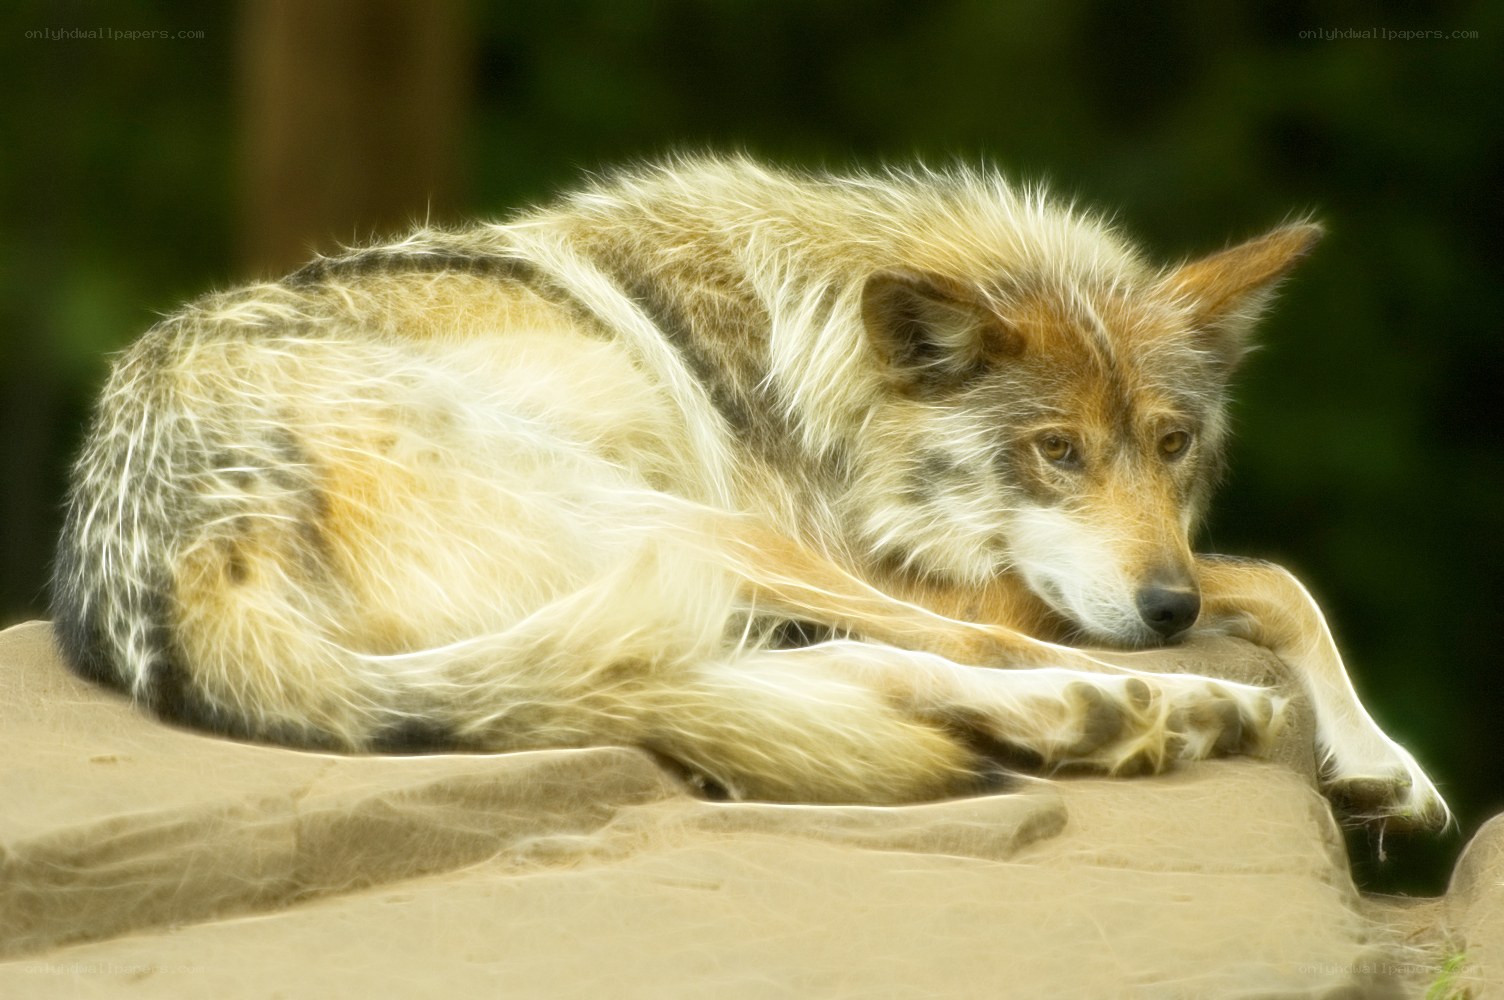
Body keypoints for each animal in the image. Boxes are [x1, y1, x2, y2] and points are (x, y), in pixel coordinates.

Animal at [52, 155, 1446, 825]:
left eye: (1170, 444)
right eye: (1055, 451)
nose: (1161, 610)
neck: (806, 354)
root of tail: (175, 547)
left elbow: (1279, 583)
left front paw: (1381, 764)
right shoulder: (915, 565)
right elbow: (1264, 575)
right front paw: (1360, 746)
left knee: (795, 676)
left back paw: (1104, 715)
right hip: (696, 528)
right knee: (947, 653)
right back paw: (1164, 706)